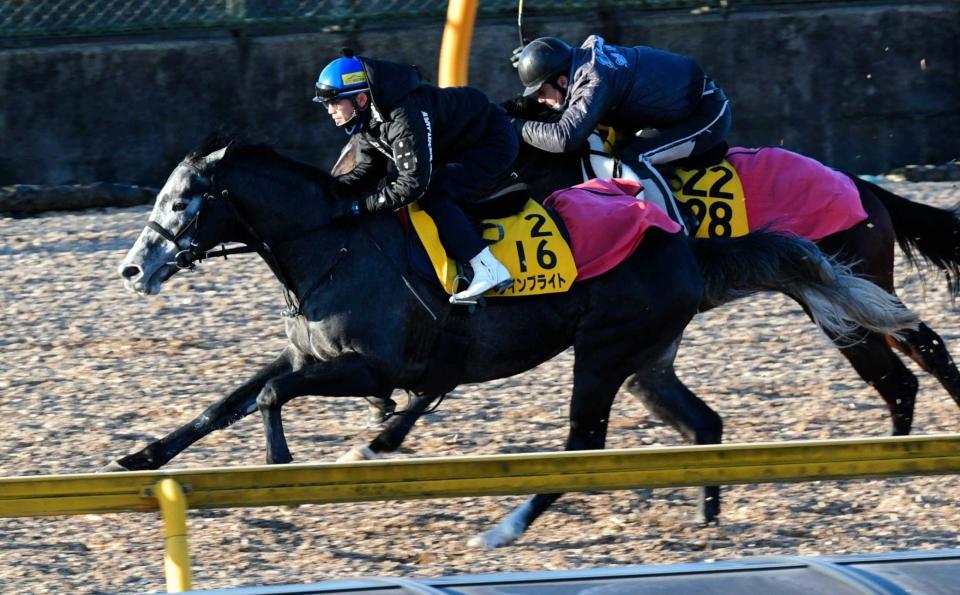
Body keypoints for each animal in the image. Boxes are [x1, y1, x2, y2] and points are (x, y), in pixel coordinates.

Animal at [114, 136, 916, 548]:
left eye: (182, 201)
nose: (134, 268)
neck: (333, 243)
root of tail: (688, 245)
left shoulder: (371, 364)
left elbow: (273, 396)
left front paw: (287, 462)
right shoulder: (313, 354)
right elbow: (226, 402)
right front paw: (139, 457)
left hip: (603, 353)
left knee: (583, 444)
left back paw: (503, 528)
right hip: (646, 359)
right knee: (705, 423)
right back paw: (707, 516)